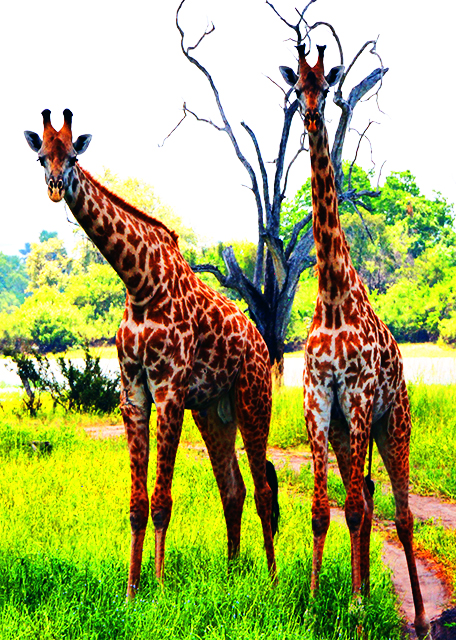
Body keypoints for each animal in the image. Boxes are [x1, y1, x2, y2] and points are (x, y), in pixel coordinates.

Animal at [24, 109, 279, 595]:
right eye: (42, 155)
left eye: (72, 155)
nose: (54, 185)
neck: (139, 283)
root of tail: (260, 342)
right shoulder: (135, 392)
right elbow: (138, 503)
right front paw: (131, 590)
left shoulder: (169, 391)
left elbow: (162, 500)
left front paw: (158, 588)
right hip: (214, 410)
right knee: (232, 487)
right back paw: (233, 571)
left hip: (253, 398)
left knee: (263, 489)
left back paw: (273, 582)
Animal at [280, 47, 431, 639]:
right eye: (296, 87)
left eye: (326, 86)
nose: (310, 115)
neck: (331, 293)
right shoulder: (319, 400)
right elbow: (325, 509)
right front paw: (322, 599)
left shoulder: (360, 396)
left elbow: (359, 509)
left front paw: (357, 610)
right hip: (350, 431)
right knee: (362, 497)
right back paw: (363, 591)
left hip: (394, 423)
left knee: (400, 511)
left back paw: (415, 614)